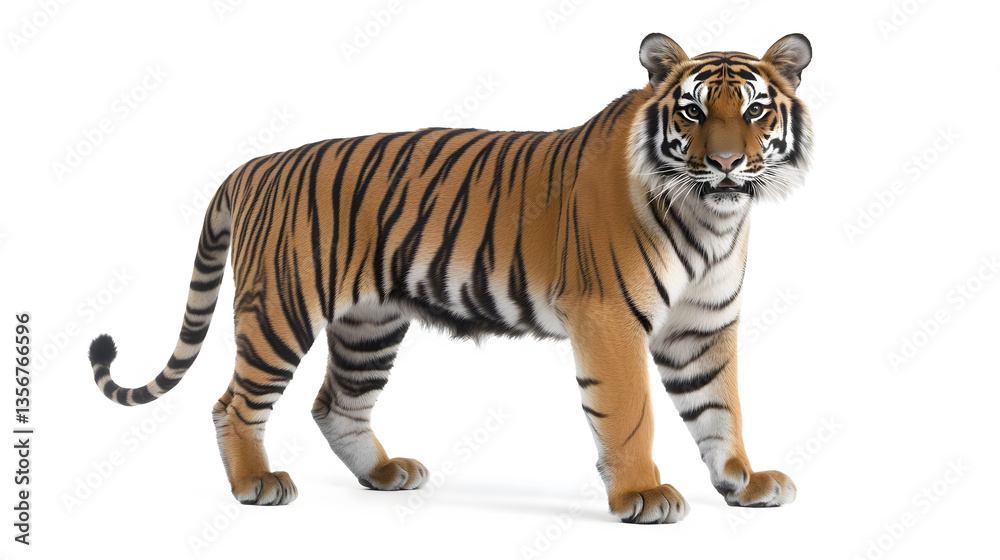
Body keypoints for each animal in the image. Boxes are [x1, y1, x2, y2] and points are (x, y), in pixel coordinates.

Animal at [88, 32, 813, 524]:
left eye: (755, 112)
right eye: (692, 112)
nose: (726, 164)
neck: (713, 215)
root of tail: (255, 165)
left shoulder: (702, 327)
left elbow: (720, 409)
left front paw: (743, 482)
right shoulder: (609, 317)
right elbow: (630, 412)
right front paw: (641, 493)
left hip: (369, 325)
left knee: (336, 404)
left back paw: (385, 473)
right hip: (280, 311)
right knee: (233, 403)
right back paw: (255, 486)